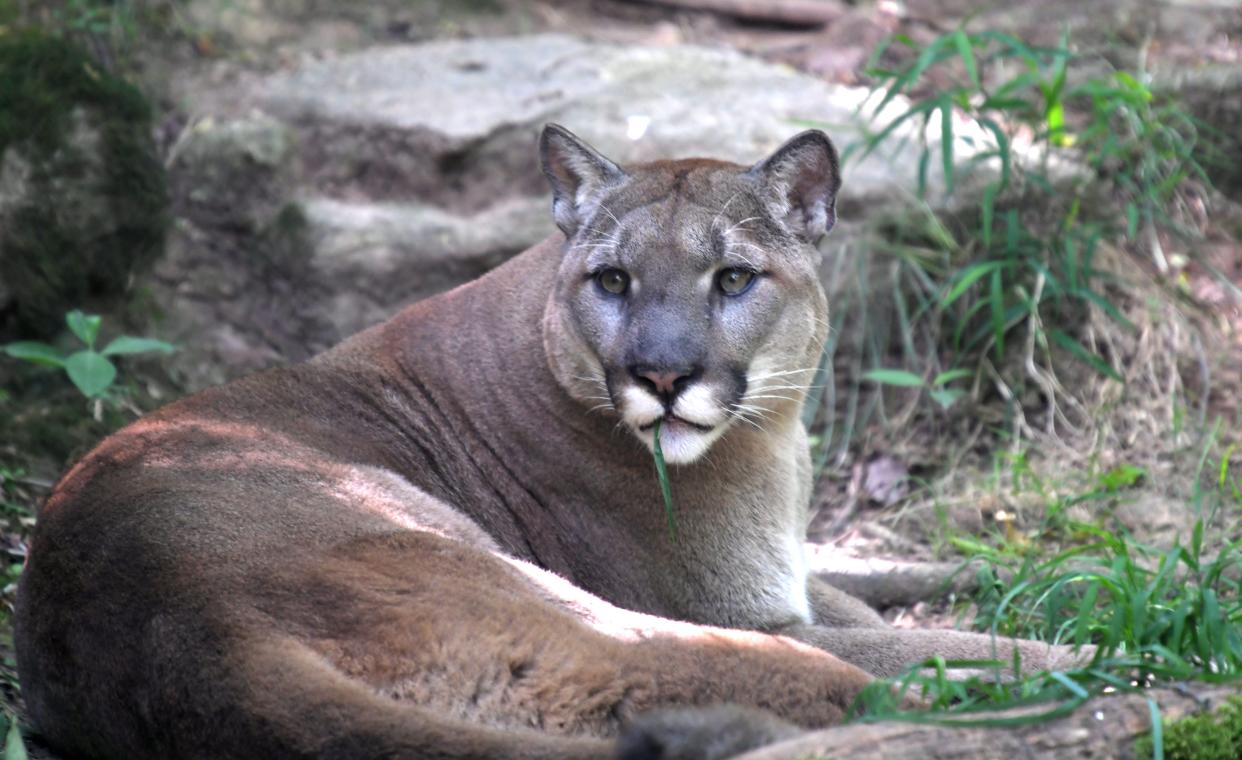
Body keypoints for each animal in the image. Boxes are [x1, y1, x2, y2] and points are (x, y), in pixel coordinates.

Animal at [19, 126, 1083, 760]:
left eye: (733, 279)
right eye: (612, 281)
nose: (662, 375)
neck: (769, 440)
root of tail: (177, 635)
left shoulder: (789, 575)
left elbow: (874, 573)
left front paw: (1074, 573)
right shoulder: (749, 609)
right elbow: (908, 633)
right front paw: (1073, 623)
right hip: (536, 590)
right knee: (785, 683)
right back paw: (1075, 675)